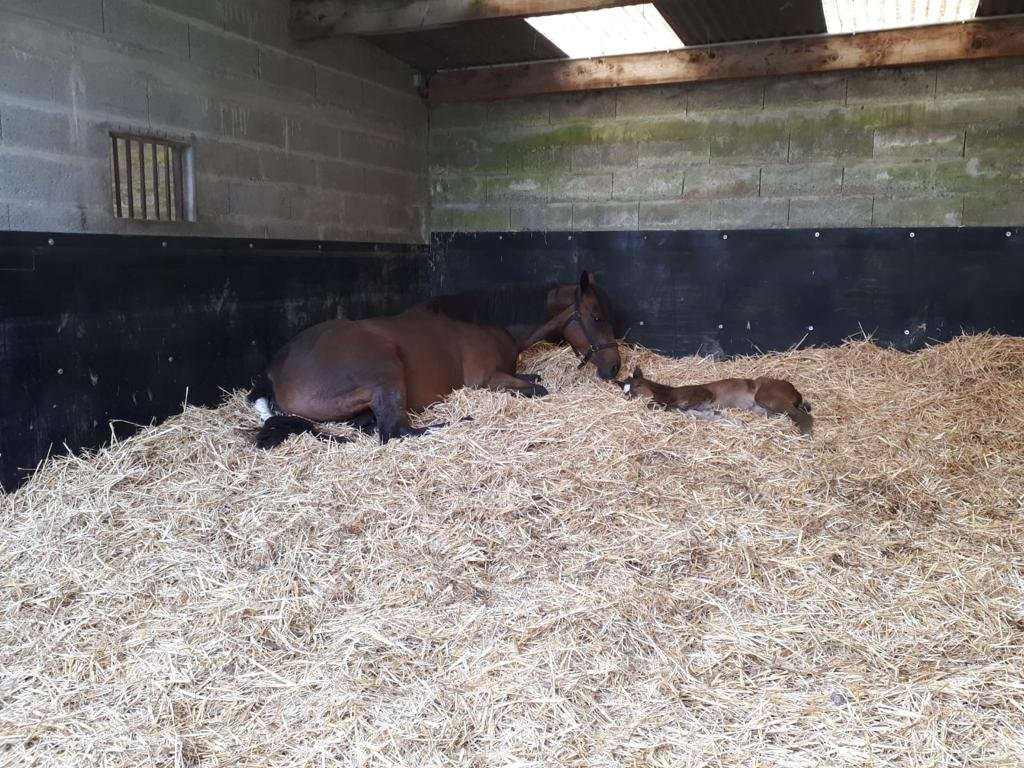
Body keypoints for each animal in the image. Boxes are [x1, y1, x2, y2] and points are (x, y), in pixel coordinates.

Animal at [248, 271, 621, 448]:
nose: (616, 366)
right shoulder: (487, 380)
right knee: (396, 431)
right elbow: (538, 390)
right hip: (385, 372)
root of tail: (274, 371)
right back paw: (461, 421)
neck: (489, 325)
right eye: (597, 317)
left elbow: (534, 380)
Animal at [616, 366, 814, 435]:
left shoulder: (702, 395)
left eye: (637, 385)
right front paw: (723, 418)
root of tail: (795, 391)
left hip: (767, 397)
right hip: (762, 408)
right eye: (625, 393)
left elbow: (680, 408)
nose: (630, 398)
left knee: (802, 416)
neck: (671, 392)